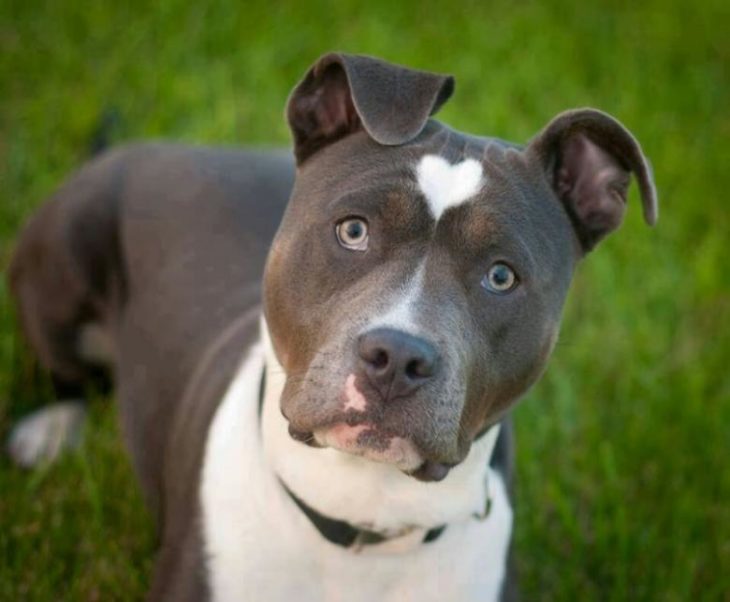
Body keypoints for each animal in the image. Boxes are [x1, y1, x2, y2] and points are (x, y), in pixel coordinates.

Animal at [7, 52, 656, 600]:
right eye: (353, 229)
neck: (366, 523)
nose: (398, 358)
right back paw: (48, 430)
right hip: (66, 253)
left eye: (501, 276)